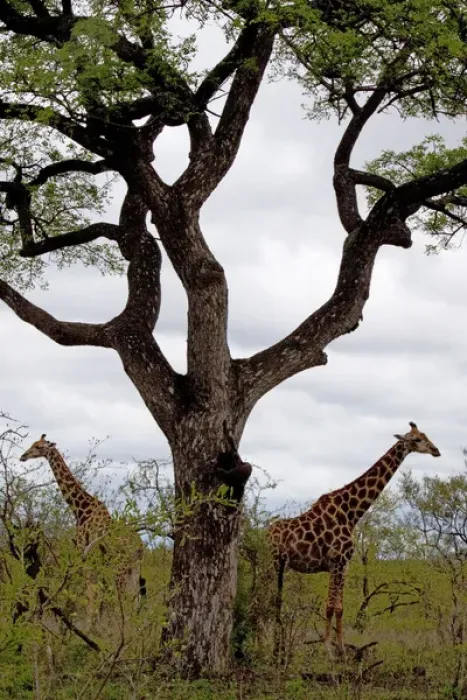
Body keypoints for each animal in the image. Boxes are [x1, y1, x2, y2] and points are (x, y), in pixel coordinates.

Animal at [19, 435, 145, 609]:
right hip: (134, 567)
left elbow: (87, 593)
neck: (80, 508)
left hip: (121, 565)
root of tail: (140, 547)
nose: (23, 456)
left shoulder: (80, 550)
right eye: (33, 444)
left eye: (38, 447)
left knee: (124, 599)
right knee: (134, 600)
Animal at [268, 421, 440, 658]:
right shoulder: (336, 561)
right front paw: (327, 651)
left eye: (425, 435)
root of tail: (265, 533)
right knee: (268, 601)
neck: (351, 513)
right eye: (416, 439)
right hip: (274, 563)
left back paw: (278, 649)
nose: (436, 450)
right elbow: (330, 606)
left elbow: (340, 608)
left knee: (274, 601)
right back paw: (271, 649)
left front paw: (342, 650)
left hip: (281, 566)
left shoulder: (344, 564)